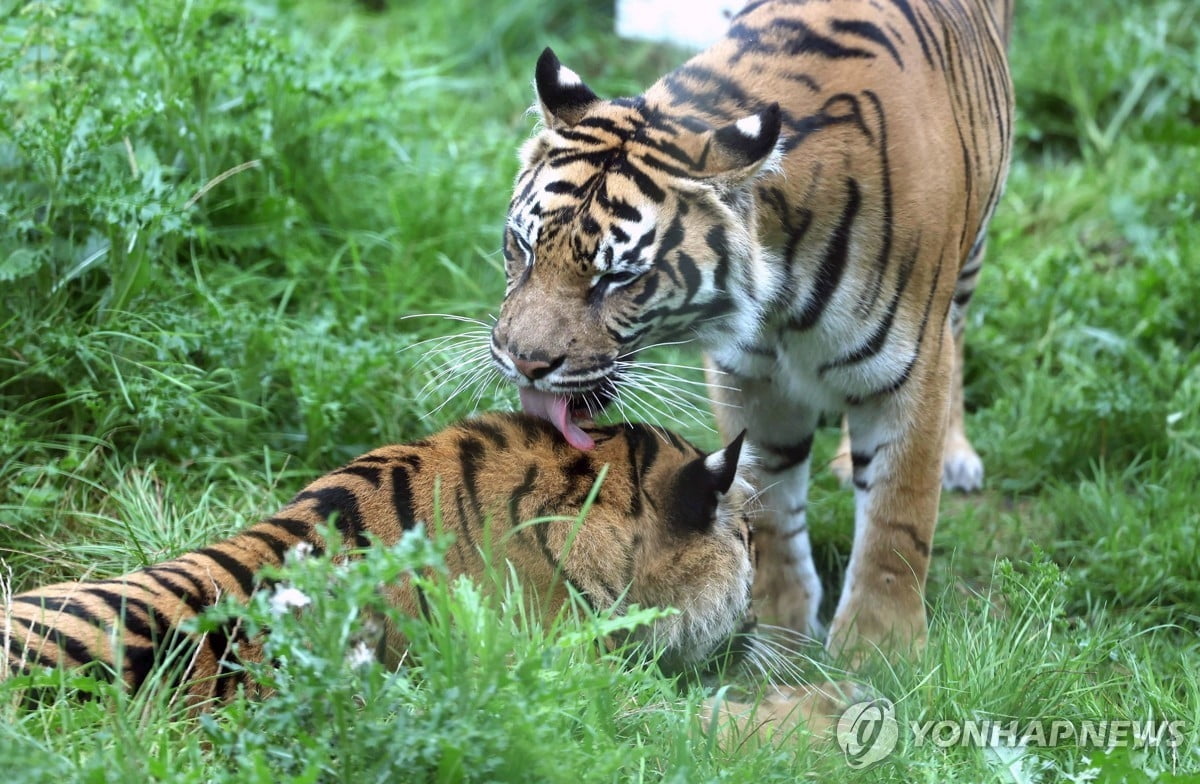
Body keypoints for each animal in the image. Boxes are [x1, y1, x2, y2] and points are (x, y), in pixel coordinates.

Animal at [489, 1, 1012, 662]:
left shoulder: (912, 367)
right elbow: (766, 497)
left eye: (618, 278)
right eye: (524, 247)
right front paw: (781, 624)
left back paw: (956, 454)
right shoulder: (750, 372)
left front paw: (879, 654)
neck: (782, 288)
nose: (522, 362)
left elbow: (898, 516)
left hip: (969, 261)